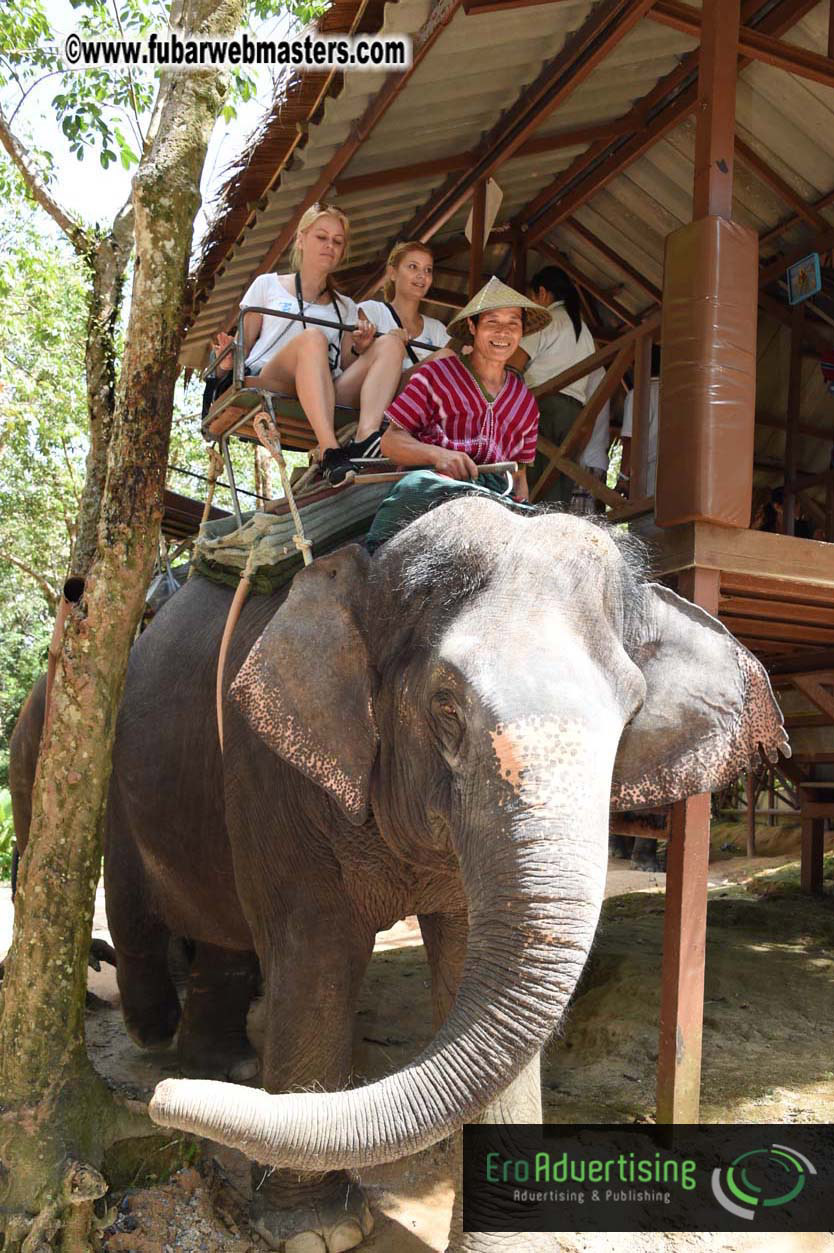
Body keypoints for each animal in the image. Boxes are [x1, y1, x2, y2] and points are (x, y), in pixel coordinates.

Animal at [9, 497, 788, 1253]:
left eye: (629, 715)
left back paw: (224, 1067)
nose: (164, 1105)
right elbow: (318, 953)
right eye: (446, 708)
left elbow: (468, 959)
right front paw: (317, 1233)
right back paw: (158, 1039)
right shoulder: (273, 767)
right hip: (108, 769)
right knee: (137, 903)